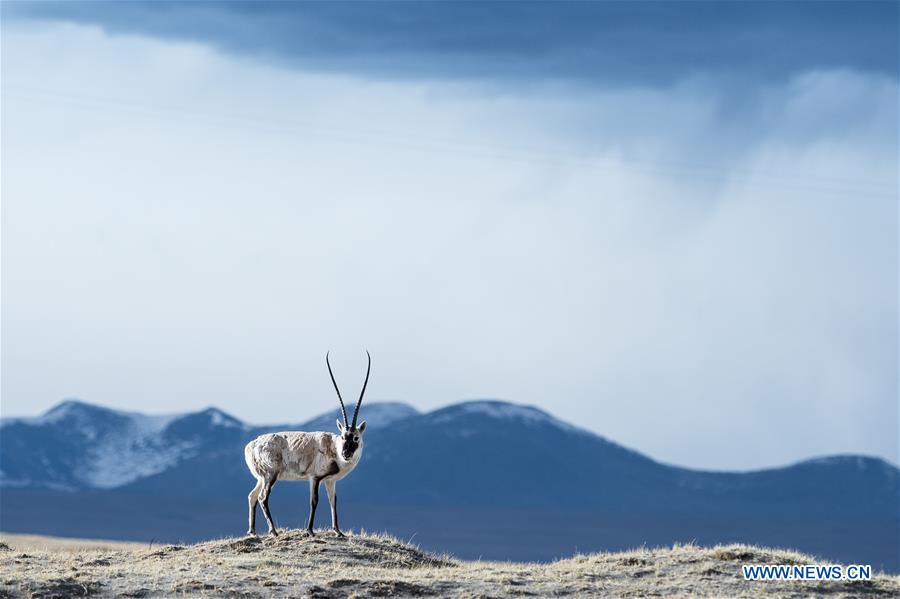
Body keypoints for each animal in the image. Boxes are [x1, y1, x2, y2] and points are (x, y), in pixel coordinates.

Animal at [243, 350, 370, 536]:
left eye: (355, 438)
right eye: (343, 436)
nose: (346, 453)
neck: (333, 448)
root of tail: (251, 446)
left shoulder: (330, 481)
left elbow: (333, 501)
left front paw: (338, 531)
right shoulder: (314, 478)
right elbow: (314, 501)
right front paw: (310, 530)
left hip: (261, 477)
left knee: (252, 495)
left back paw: (252, 531)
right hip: (270, 475)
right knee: (262, 497)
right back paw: (273, 531)